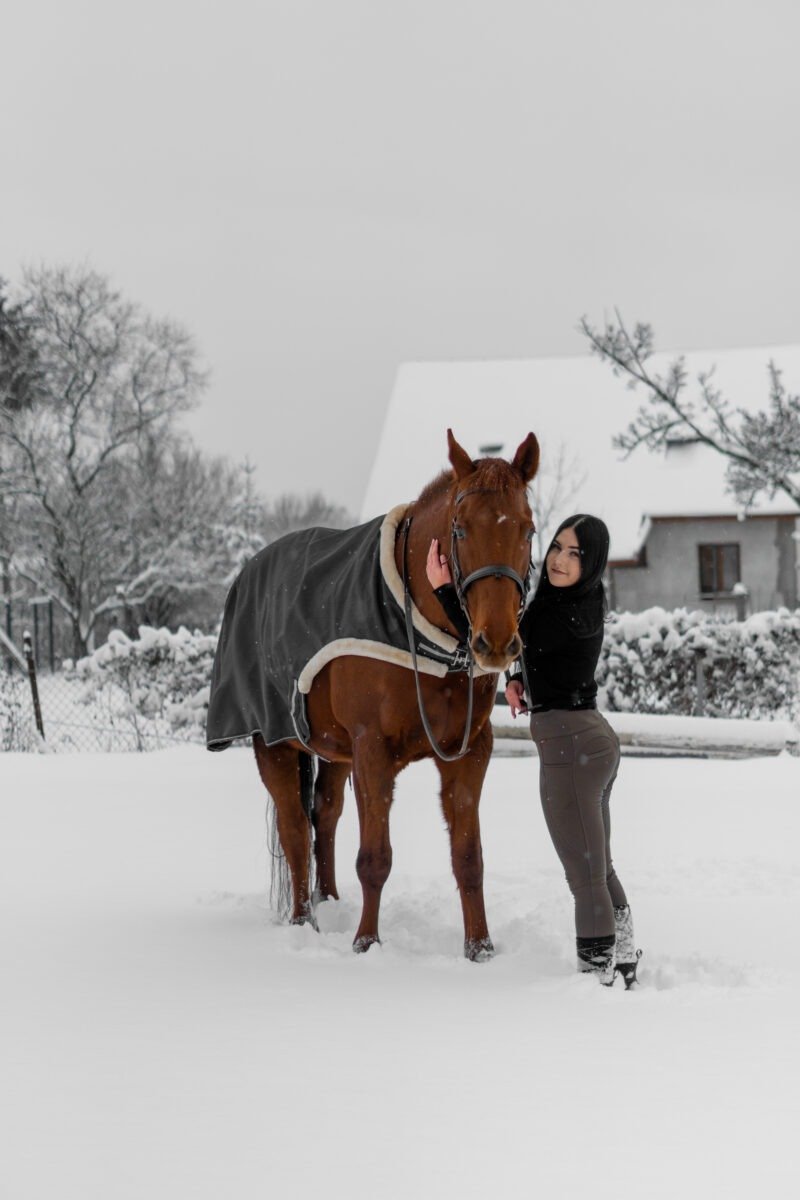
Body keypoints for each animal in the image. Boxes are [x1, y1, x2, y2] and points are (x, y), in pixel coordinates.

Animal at [207, 429, 539, 959]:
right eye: (460, 529)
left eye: (527, 530)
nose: (495, 642)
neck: (413, 622)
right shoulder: (372, 752)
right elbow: (374, 858)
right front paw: (366, 943)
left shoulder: (470, 752)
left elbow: (468, 857)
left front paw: (480, 948)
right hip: (274, 743)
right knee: (295, 828)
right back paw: (304, 921)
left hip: (332, 752)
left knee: (324, 816)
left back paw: (329, 901)